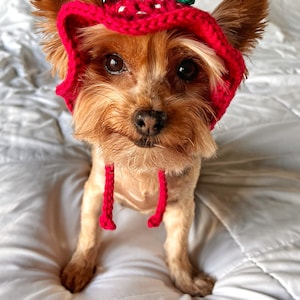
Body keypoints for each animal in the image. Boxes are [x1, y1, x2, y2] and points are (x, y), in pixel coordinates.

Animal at [31, 0, 268, 296]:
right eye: (113, 62)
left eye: (187, 69)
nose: (149, 120)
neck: (143, 163)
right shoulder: (95, 192)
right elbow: (88, 232)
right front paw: (79, 267)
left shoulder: (181, 205)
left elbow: (177, 245)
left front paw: (186, 280)